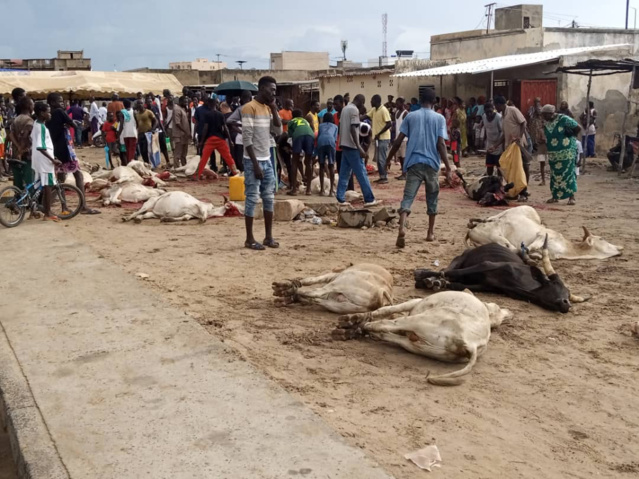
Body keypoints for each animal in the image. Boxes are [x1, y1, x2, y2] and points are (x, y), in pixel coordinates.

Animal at [332, 288, 512, 386]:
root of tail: (472, 344)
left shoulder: (414, 302)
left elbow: (385, 310)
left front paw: (354, 320)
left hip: (417, 321)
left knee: (382, 324)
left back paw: (349, 326)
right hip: (415, 345)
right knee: (387, 333)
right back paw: (352, 331)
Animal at [412, 239, 588, 314]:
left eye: (568, 295)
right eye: (555, 285)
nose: (567, 304)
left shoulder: (488, 286)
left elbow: (458, 285)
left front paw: (438, 283)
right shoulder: (487, 265)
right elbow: (452, 273)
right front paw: (422, 275)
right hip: (460, 258)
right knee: (448, 269)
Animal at [464, 204, 624, 260]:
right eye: (602, 238)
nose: (621, 248)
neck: (567, 249)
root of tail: (471, 231)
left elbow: (533, 252)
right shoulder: (543, 236)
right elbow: (531, 246)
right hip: (497, 236)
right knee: (513, 248)